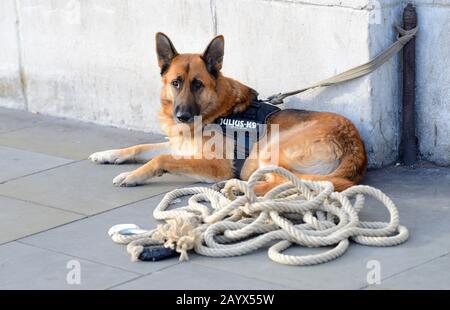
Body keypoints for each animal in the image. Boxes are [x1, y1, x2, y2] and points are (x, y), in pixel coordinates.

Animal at [89, 33, 368, 194]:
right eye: (176, 82)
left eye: (197, 84)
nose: (182, 116)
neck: (212, 111)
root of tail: (354, 147)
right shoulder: (179, 146)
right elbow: (140, 148)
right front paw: (109, 155)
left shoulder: (216, 165)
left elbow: (161, 159)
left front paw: (132, 176)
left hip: (270, 149)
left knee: (282, 182)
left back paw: (235, 187)